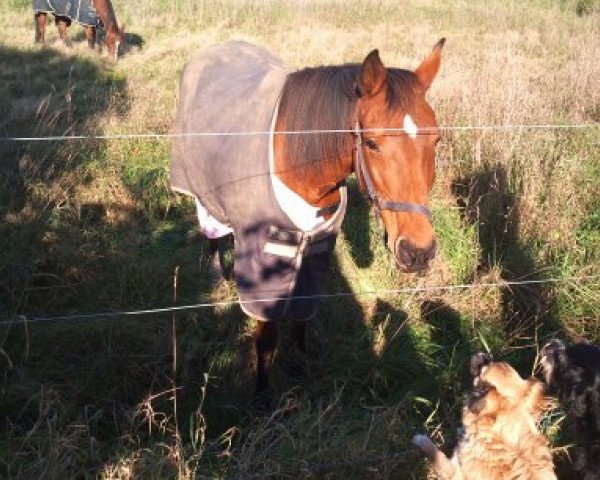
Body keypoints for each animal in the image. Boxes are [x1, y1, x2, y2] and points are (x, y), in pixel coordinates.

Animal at [171, 38, 442, 398]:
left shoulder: (315, 249)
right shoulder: (264, 264)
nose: (418, 252)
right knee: (213, 231)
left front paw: (302, 366)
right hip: (201, 191)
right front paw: (263, 393)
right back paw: (217, 273)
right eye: (371, 143)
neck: (301, 171)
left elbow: (302, 316)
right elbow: (266, 337)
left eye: (437, 138)